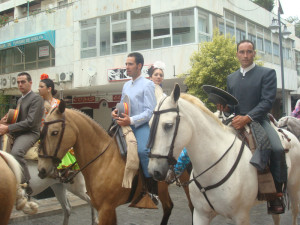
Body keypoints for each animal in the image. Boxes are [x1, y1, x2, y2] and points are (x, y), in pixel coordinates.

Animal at [37, 101, 192, 225]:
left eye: (55, 132)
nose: (41, 169)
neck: (103, 160)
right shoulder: (106, 208)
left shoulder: (106, 209)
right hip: (163, 187)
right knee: (168, 207)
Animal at [146, 84, 300, 225]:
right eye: (149, 124)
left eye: (168, 125)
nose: (154, 171)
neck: (214, 167)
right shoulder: (201, 215)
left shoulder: (241, 217)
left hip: (294, 189)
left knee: (294, 214)